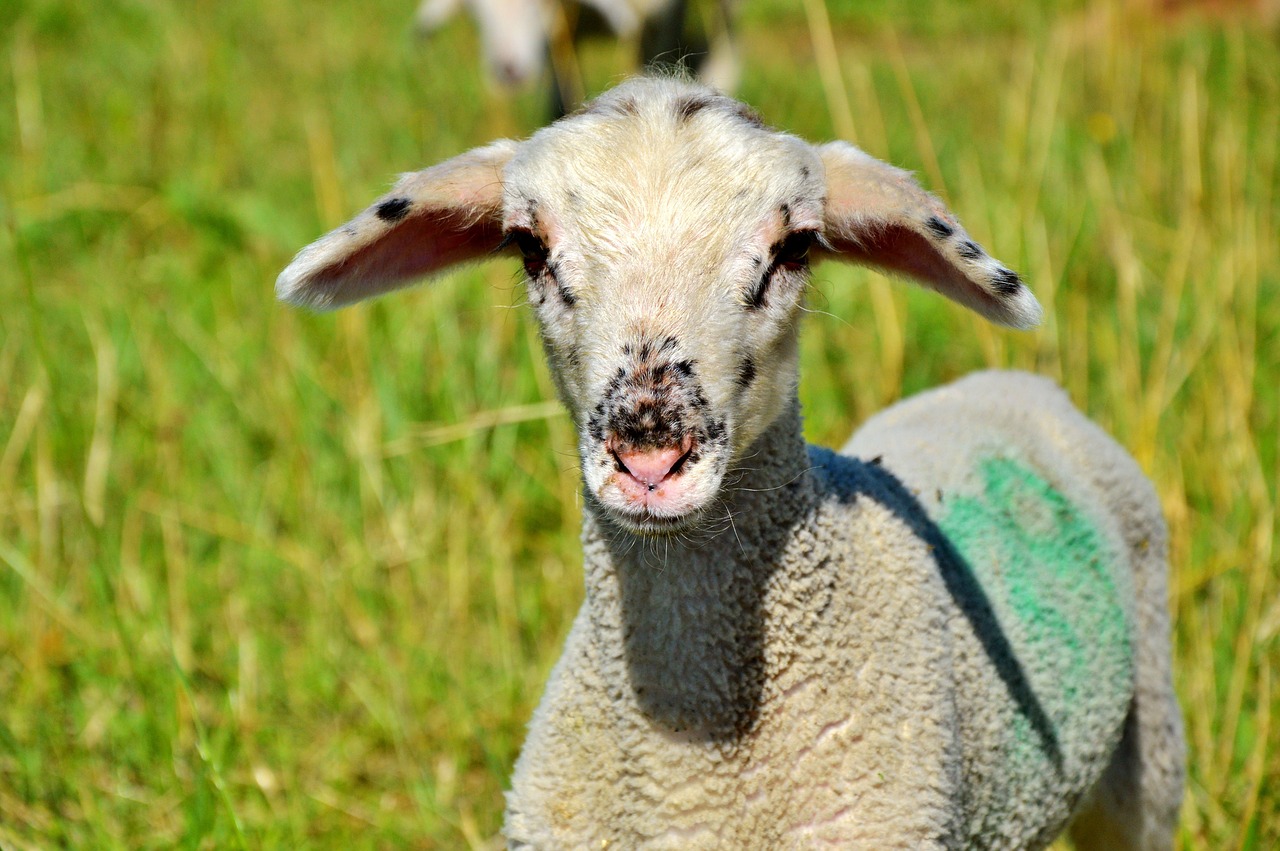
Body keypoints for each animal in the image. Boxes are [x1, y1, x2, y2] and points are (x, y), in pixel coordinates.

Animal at [276, 76, 1185, 849]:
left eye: (796, 247)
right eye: (529, 246)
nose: (649, 452)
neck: (690, 763)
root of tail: (1018, 385)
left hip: (1148, 752)